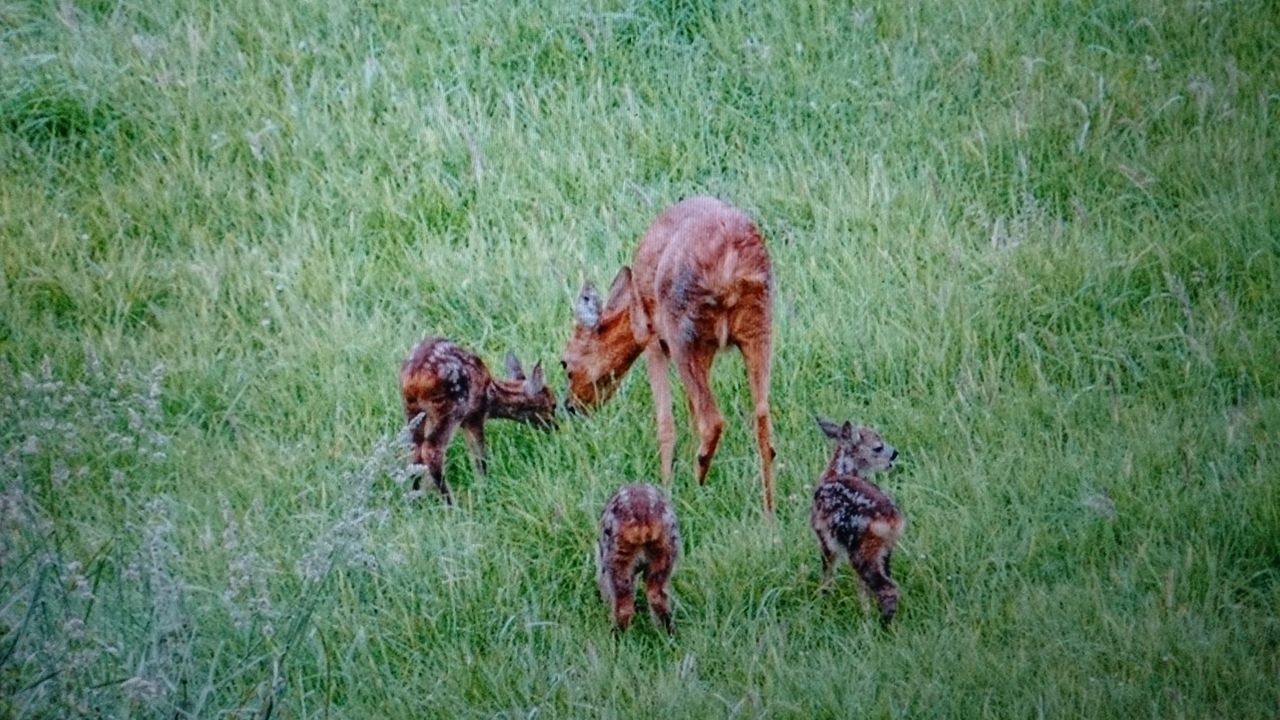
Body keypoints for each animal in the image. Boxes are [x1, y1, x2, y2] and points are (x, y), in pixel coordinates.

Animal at [399, 335, 555, 499]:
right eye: (553, 405)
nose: (555, 426)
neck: (491, 393)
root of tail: (414, 376)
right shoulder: (475, 416)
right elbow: (480, 457)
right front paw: (484, 489)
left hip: (412, 410)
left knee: (414, 451)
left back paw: (415, 496)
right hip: (450, 407)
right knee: (431, 450)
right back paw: (450, 501)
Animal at [563, 193, 778, 512]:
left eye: (564, 363)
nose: (569, 406)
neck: (632, 308)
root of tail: (728, 265)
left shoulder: (653, 340)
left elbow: (666, 423)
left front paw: (667, 486)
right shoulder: (707, 349)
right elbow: (689, 410)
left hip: (681, 333)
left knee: (713, 420)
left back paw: (697, 483)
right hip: (759, 327)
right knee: (762, 422)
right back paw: (768, 513)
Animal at [814, 415, 906, 622]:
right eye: (878, 447)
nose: (895, 453)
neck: (836, 473)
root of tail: (891, 519)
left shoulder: (824, 536)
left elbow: (828, 573)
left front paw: (822, 599)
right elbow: (861, 588)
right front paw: (865, 612)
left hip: (861, 548)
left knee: (887, 588)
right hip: (884, 549)